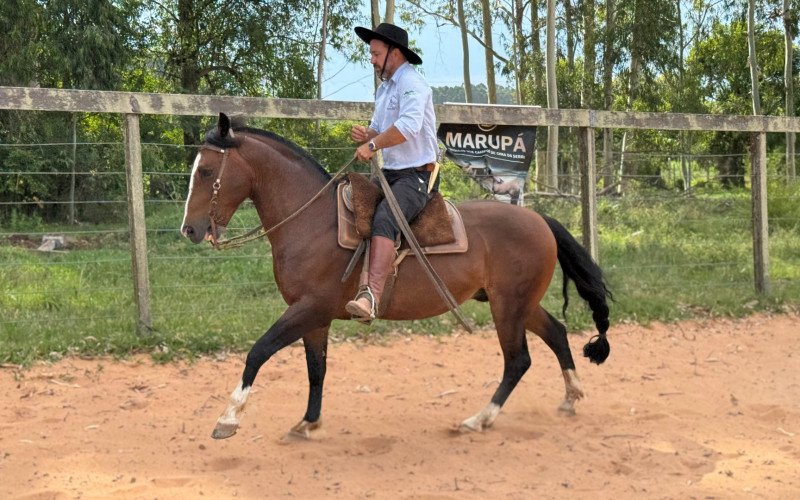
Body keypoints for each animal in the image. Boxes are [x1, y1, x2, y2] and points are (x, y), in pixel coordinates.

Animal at [181, 113, 612, 440]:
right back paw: (570, 397)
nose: (189, 230)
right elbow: (316, 369)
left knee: (518, 360)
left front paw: (228, 419)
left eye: (206, 171)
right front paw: (307, 422)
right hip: (519, 303)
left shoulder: (308, 309)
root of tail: (539, 219)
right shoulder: (314, 317)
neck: (313, 221)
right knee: (556, 333)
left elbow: (259, 351)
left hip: (508, 307)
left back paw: (479, 419)